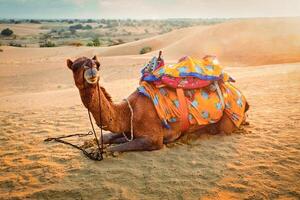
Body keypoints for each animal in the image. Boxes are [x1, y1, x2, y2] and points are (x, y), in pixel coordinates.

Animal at [67, 55, 248, 152]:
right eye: (75, 66)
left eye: (97, 65)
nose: (91, 68)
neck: (128, 111)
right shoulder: (129, 129)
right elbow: (107, 136)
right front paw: (90, 144)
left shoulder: (153, 139)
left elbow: (112, 148)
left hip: (228, 121)